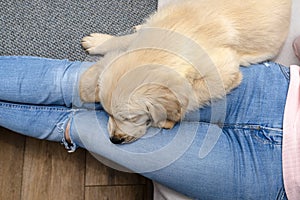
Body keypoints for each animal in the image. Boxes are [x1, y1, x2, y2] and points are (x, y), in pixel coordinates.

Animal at [79, 0, 290, 144]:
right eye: (107, 113)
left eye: (132, 118)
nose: (115, 140)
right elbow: (125, 40)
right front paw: (99, 41)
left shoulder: (226, 70)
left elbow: (191, 95)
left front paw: (165, 119)